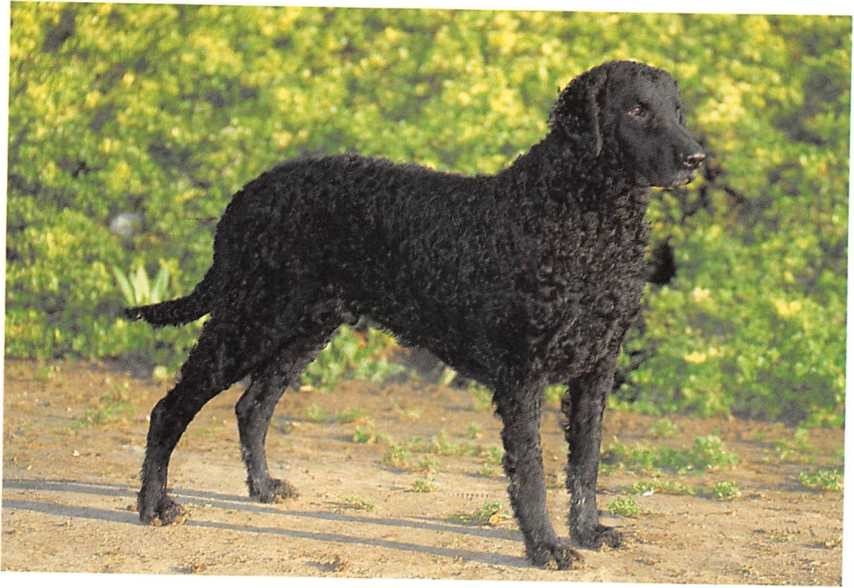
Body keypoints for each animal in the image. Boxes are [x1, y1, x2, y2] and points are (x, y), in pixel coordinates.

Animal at [125, 60, 704, 568]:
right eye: (636, 109)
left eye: (676, 110)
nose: (697, 158)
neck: (581, 216)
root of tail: (246, 193)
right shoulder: (523, 376)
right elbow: (533, 473)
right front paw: (545, 547)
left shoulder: (597, 370)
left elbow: (586, 464)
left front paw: (588, 532)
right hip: (251, 319)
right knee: (170, 408)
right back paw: (154, 505)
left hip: (304, 327)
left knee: (252, 407)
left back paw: (263, 486)